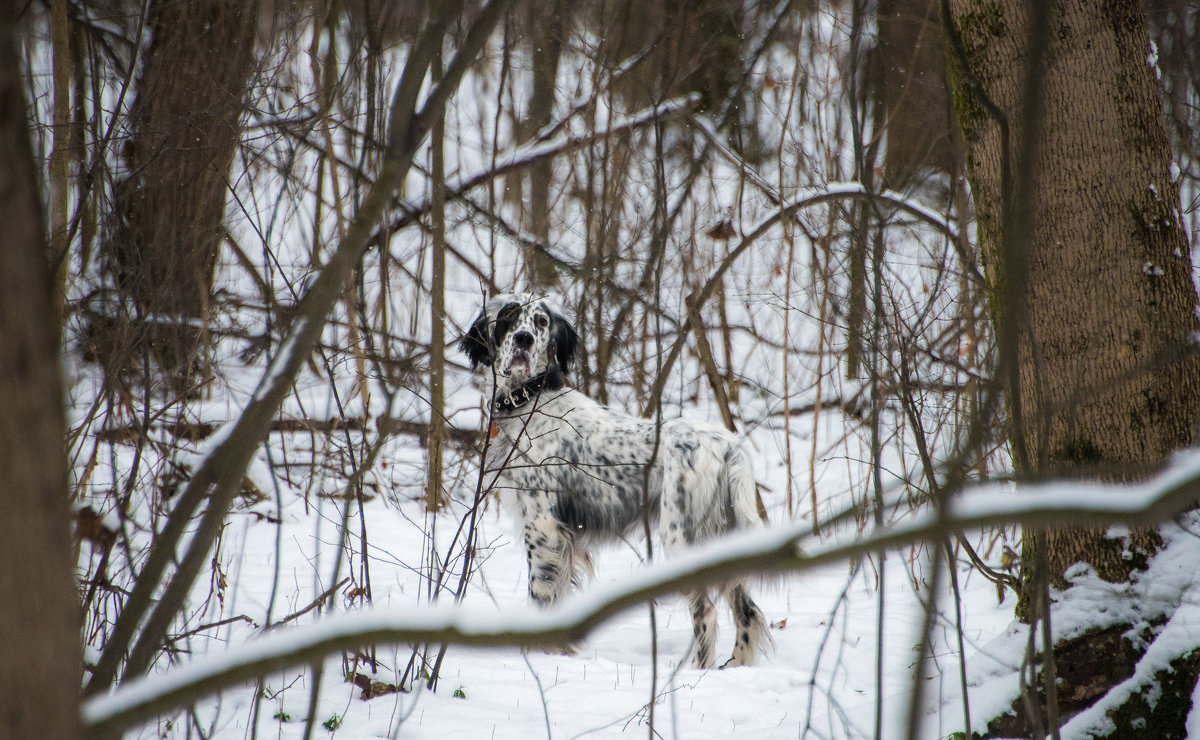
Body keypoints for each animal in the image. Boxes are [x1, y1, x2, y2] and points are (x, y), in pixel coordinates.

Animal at [458, 291, 768, 666]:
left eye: (541, 322)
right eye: (508, 315)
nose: (524, 339)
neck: (530, 400)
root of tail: (729, 445)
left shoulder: (543, 528)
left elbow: (541, 594)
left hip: (681, 535)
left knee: (706, 612)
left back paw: (696, 671)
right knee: (747, 612)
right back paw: (732, 668)